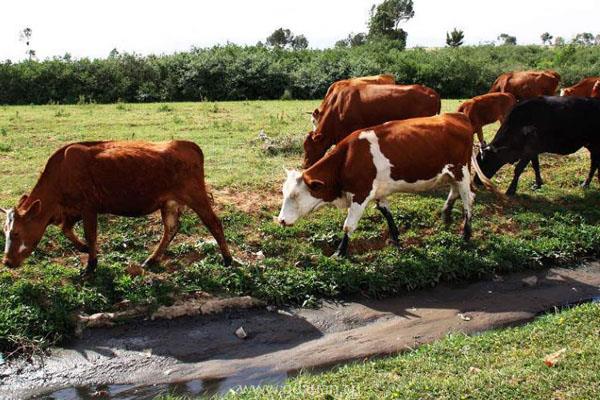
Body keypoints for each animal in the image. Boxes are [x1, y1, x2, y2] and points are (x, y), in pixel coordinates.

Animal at [1, 141, 232, 276]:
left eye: (16, 232)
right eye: (5, 231)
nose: (7, 262)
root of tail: (188, 144)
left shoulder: (88, 207)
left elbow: (91, 234)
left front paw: (91, 264)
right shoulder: (72, 210)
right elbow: (66, 229)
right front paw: (83, 248)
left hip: (195, 196)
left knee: (213, 223)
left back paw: (228, 259)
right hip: (169, 202)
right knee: (171, 228)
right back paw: (152, 259)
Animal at [278, 113, 494, 256]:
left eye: (295, 196)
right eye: (283, 193)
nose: (280, 220)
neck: (348, 157)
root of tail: (458, 116)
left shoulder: (361, 194)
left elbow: (348, 226)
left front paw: (340, 252)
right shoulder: (379, 191)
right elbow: (386, 213)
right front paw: (396, 240)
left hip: (461, 171)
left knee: (468, 200)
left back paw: (466, 234)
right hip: (451, 174)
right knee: (454, 192)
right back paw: (446, 215)